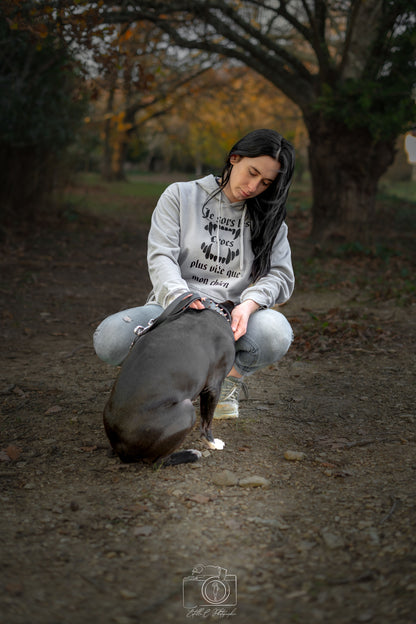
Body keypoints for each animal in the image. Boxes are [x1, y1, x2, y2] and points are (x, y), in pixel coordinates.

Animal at [103, 294, 236, 466]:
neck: (214, 309)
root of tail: (121, 449)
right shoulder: (213, 386)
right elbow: (207, 422)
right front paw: (212, 443)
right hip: (186, 410)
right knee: (156, 461)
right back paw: (191, 454)